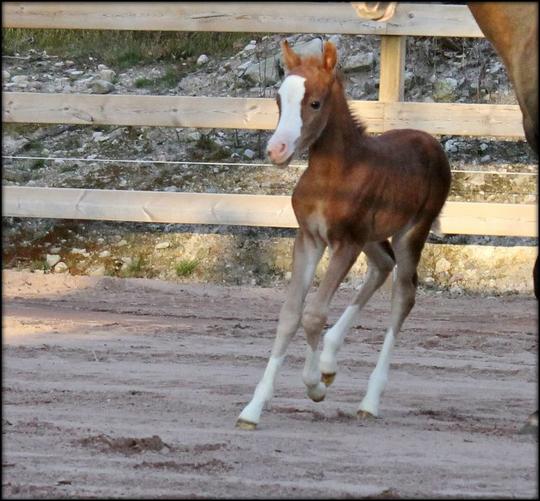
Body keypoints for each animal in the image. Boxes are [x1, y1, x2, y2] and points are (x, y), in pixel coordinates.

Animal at [236, 41, 452, 428]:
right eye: (278, 100)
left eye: (315, 103)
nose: (276, 150)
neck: (332, 175)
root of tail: (432, 142)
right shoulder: (309, 238)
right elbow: (290, 315)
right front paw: (253, 409)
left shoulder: (344, 243)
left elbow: (313, 314)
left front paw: (314, 386)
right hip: (372, 236)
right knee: (382, 266)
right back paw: (330, 361)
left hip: (412, 230)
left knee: (403, 293)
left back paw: (369, 400)